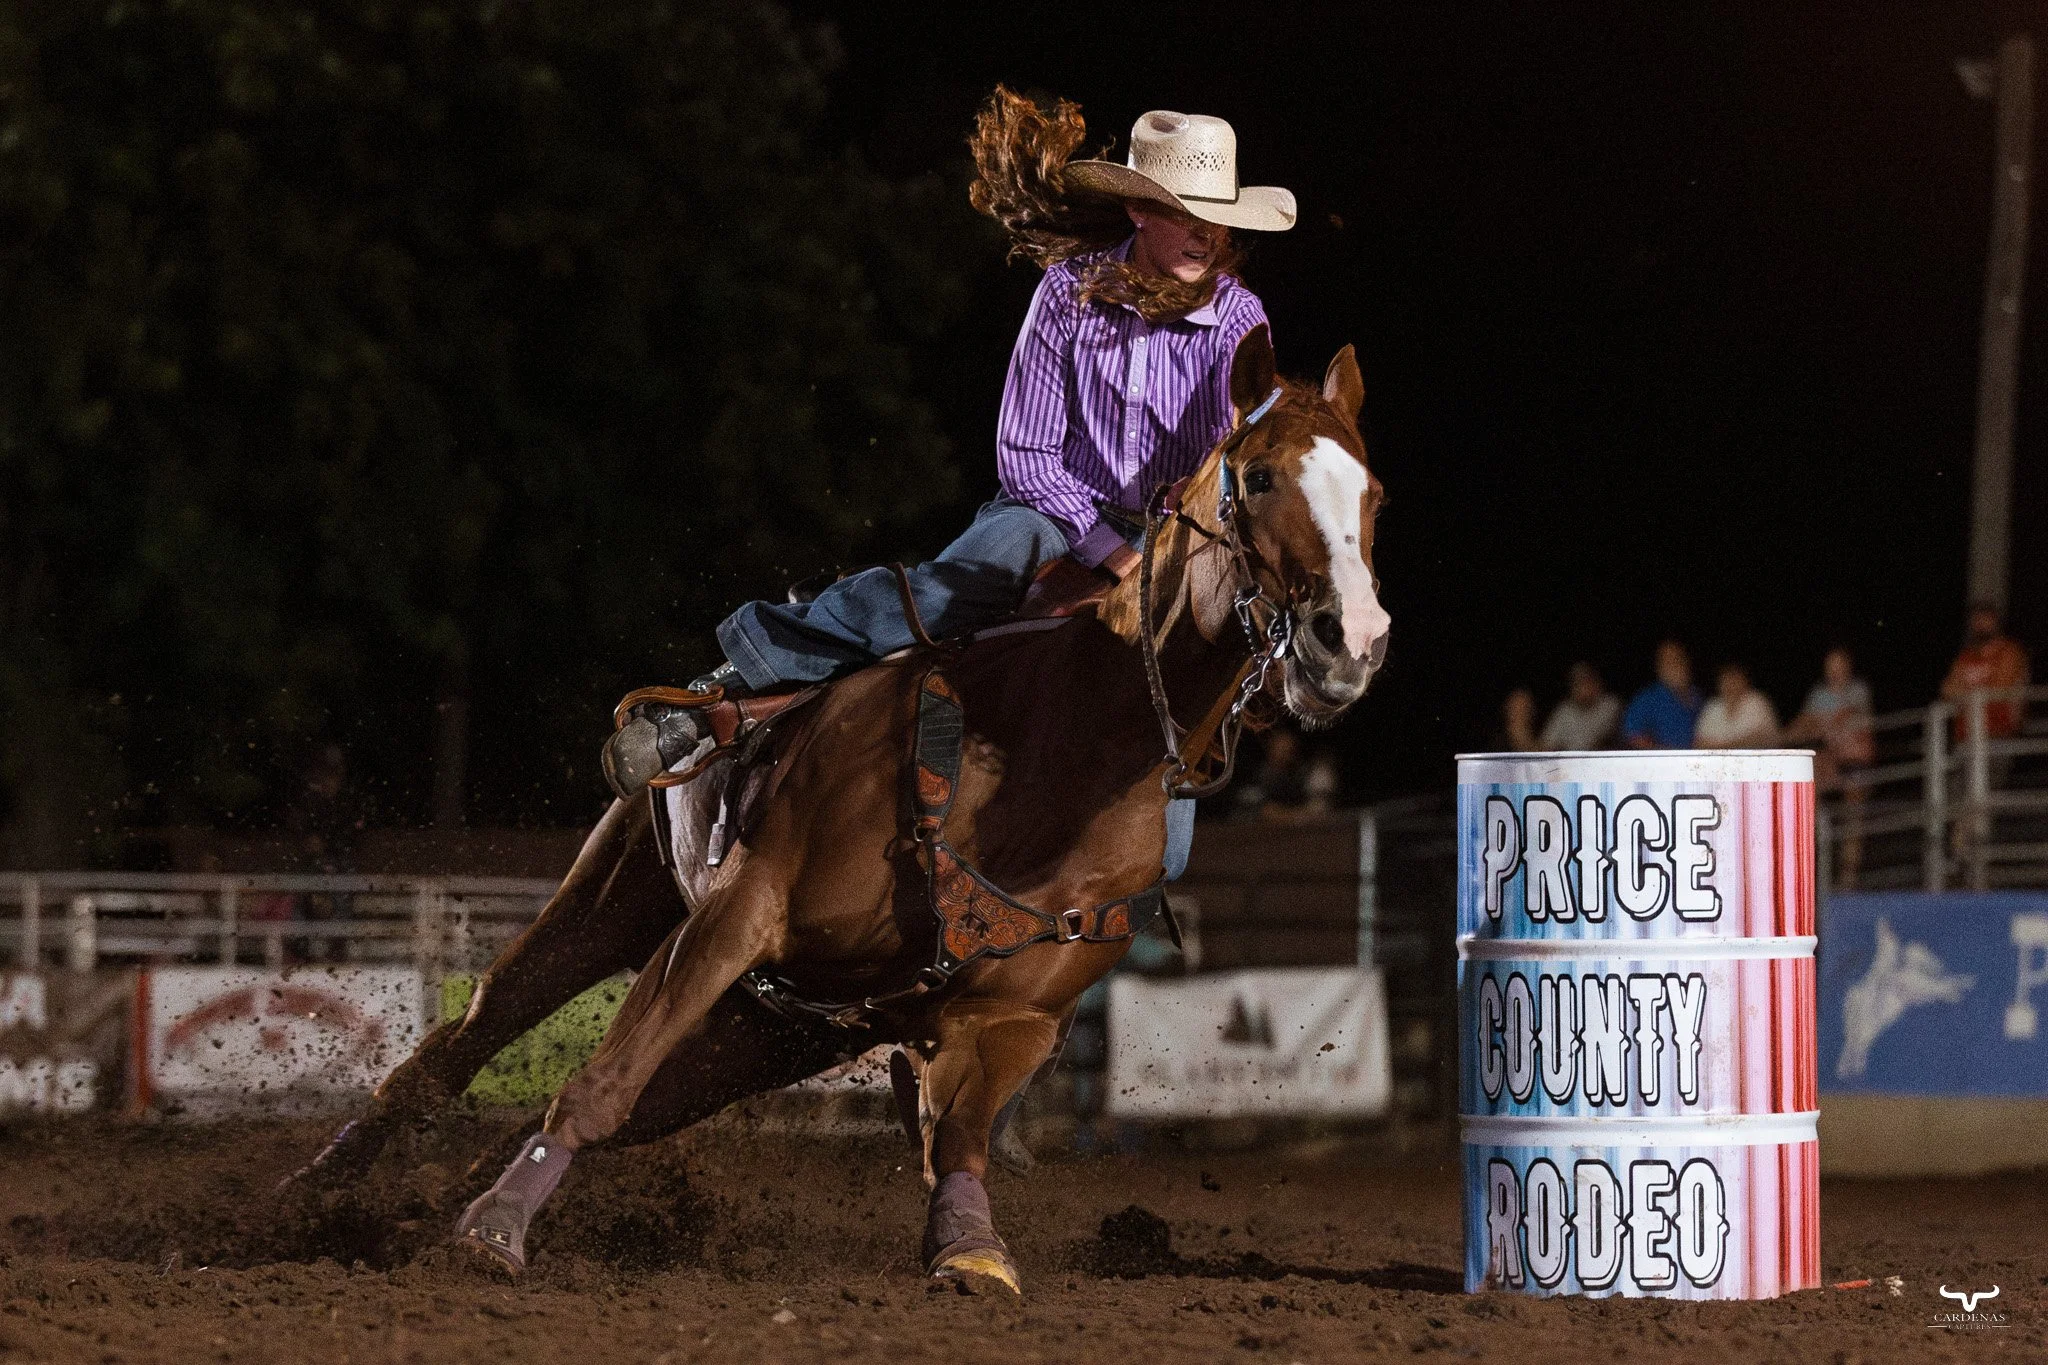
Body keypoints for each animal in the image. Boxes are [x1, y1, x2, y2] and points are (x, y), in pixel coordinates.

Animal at [289, 324, 1391, 1295]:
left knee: (608, 1098)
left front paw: (969, 1249)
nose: (1350, 641)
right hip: (619, 896)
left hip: (769, 1033)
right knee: (464, 1038)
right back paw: (317, 1193)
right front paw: (493, 1235)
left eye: (1372, 493)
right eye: (1257, 476)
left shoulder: (1017, 1014)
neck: (1053, 754)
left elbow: (959, 1141)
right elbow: (600, 1078)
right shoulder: (738, 912)